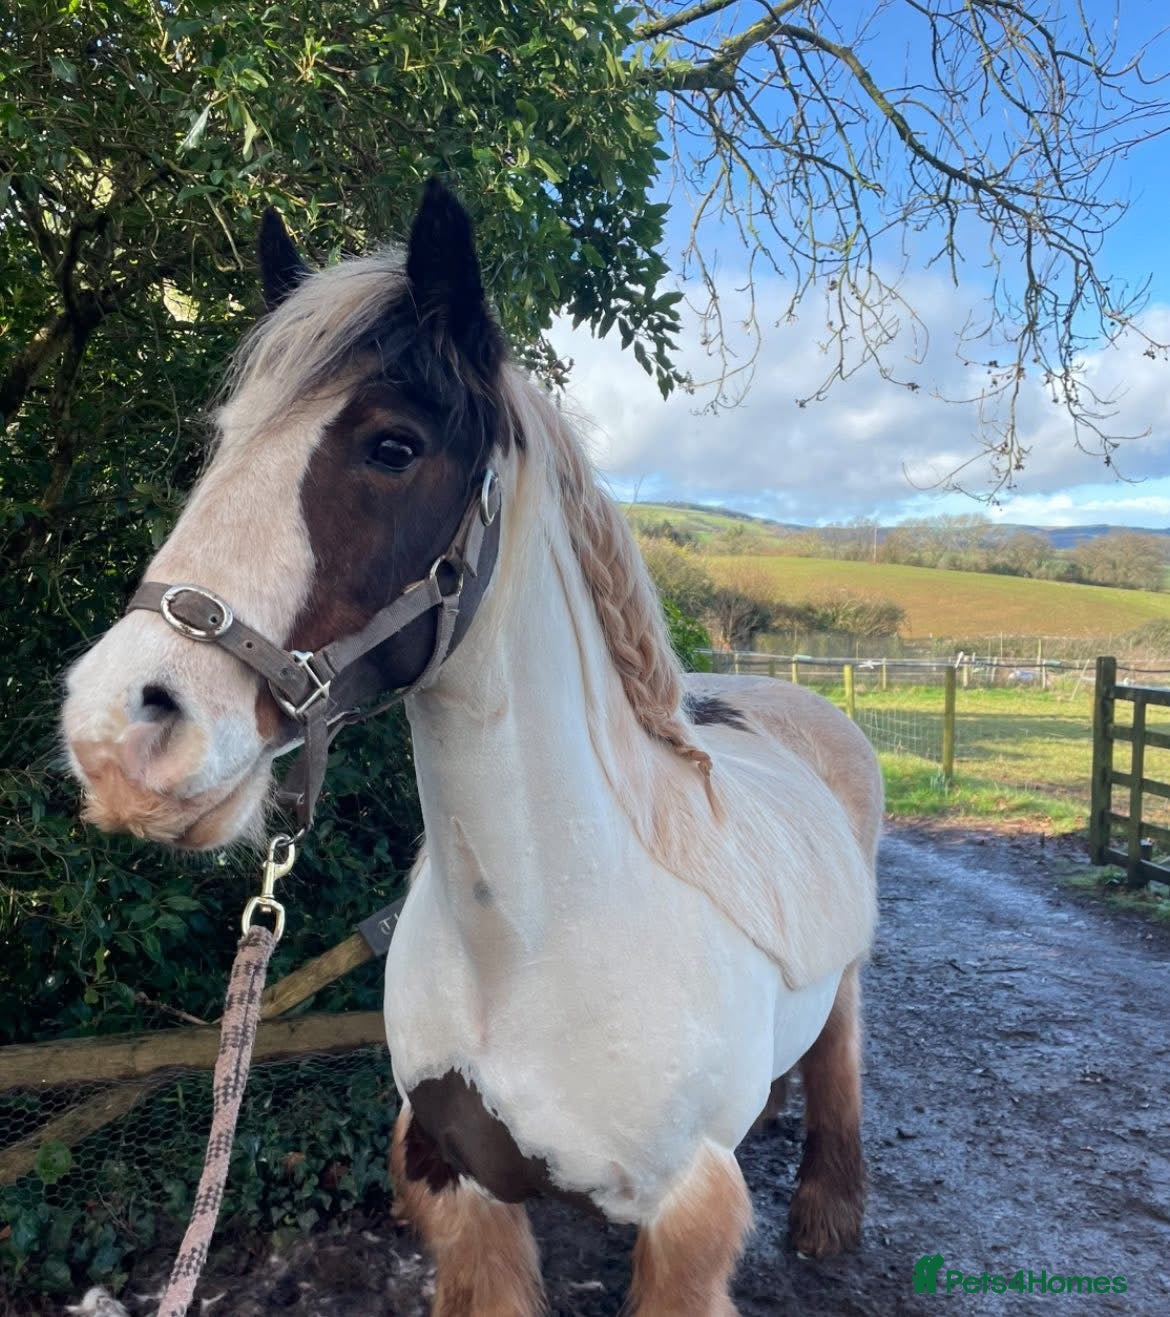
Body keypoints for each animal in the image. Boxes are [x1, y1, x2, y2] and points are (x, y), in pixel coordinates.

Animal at [61, 180, 881, 1316]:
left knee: (841, 1062)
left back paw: (827, 1216)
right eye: (221, 444)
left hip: (846, 982)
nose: (120, 727)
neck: (537, 945)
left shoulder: (686, 1220)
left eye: (393, 447)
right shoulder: (451, 1176)